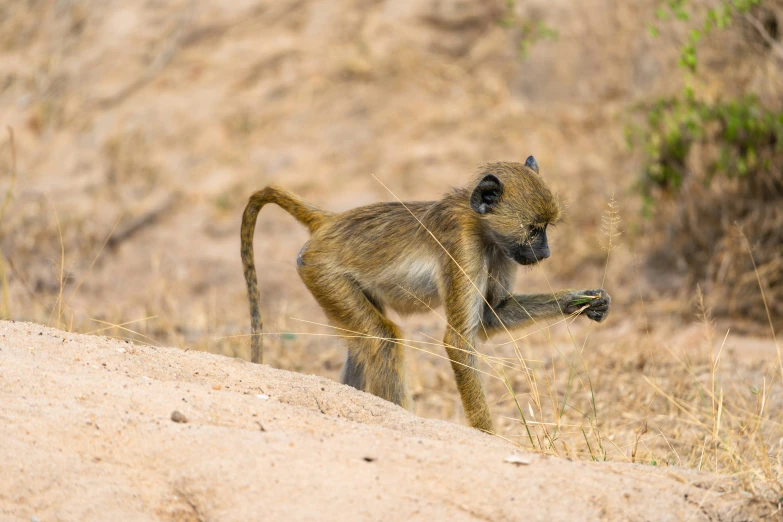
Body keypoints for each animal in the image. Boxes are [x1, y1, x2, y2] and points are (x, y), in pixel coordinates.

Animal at [240, 155, 612, 430]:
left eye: (546, 229)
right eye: (534, 230)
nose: (545, 253)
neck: (480, 225)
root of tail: (330, 221)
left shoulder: (502, 252)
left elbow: (493, 315)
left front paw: (584, 302)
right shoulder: (463, 246)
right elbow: (459, 342)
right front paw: (492, 439)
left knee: (363, 347)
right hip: (320, 270)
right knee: (383, 340)